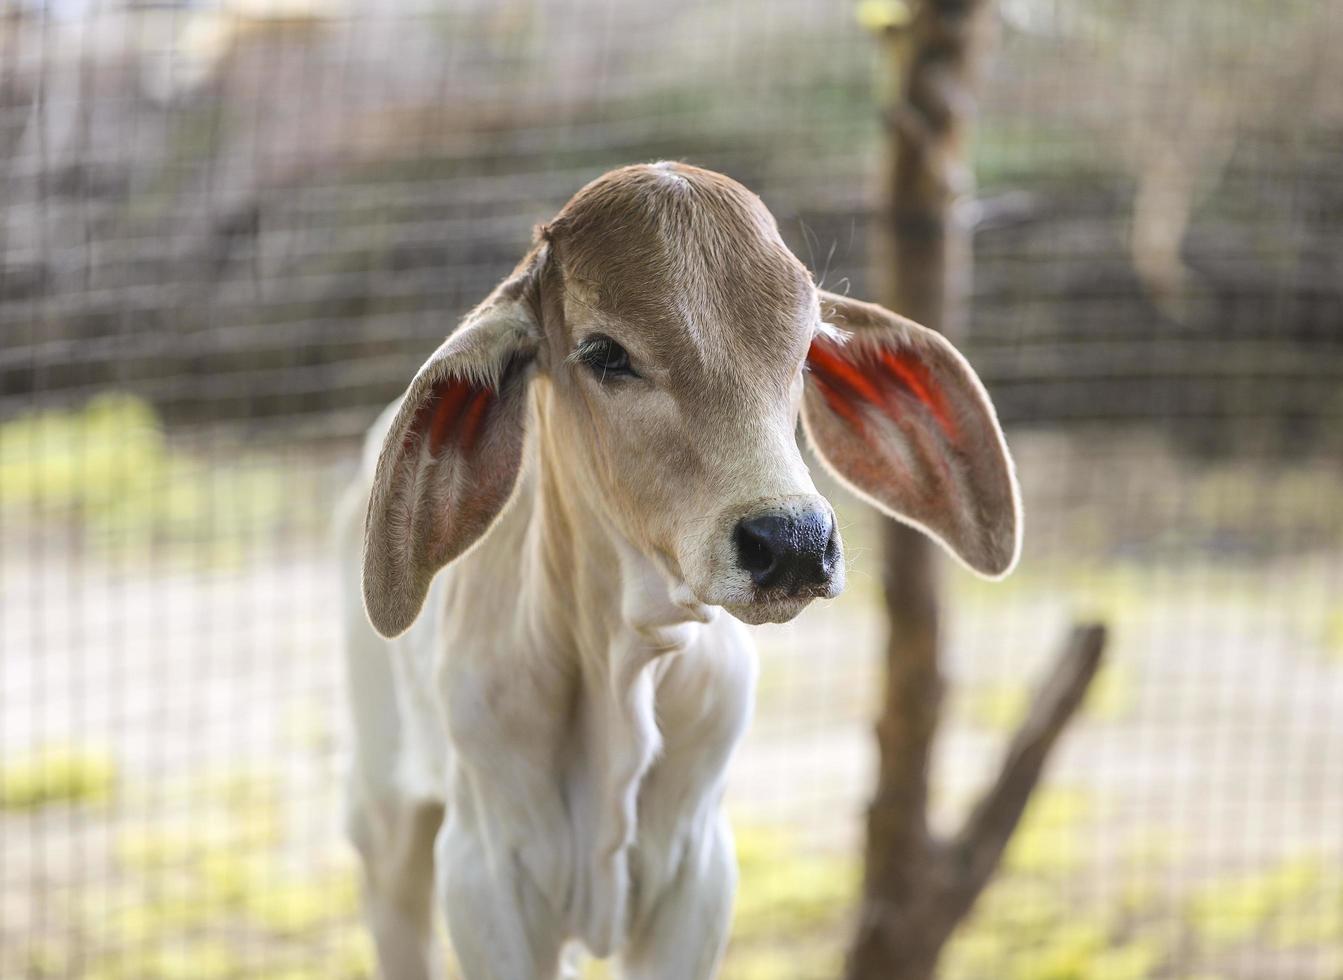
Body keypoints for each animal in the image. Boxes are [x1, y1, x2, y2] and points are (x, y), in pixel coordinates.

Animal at [338, 164, 1015, 971]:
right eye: (605, 354)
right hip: (385, 820)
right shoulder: (483, 876)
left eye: (802, 348)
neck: (621, 665)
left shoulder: (699, 871)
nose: (793, 541)